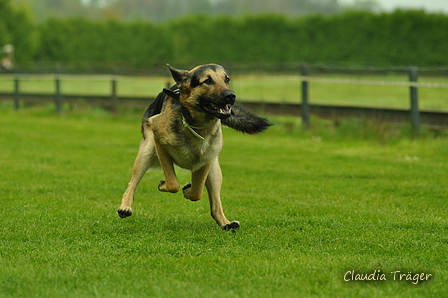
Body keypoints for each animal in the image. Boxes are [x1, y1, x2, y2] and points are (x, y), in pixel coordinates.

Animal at [118, 63, 270, 230]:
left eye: (227, 79)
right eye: (208, 81)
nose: (231, 96)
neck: (199, 126)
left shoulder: (206, 161)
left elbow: (197, 192)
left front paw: (187, 190)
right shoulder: (159, 143)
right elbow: (173, 183)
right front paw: (166, 184)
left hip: (215, 172)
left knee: (215, 205)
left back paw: (226, 223)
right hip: (146, 152)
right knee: (132, 184)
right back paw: (125, 207)